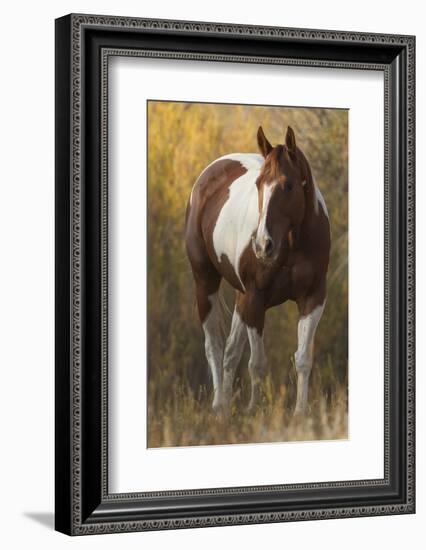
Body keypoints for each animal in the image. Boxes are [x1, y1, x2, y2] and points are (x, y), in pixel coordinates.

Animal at [185, 127, 332, 416]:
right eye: (258, 185)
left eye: (288, 185)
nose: (263, 245)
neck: (294, 243)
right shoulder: (256, 298)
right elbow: (257, 362)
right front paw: (255, 409)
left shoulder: (313, 298)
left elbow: (303, 358)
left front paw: (300, 413)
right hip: (206, 283)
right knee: (214, 346)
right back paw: (218, 405)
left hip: (241, 298)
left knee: (230, 350)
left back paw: (225, 408)